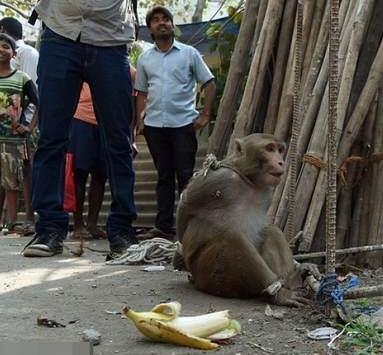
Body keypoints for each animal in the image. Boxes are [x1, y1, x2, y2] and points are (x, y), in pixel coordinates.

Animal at [172, 134, 320, 308]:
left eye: (280, 150)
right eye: (269, 149)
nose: (281, 162)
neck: (248, 180)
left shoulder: (268, 191)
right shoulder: (217, 178)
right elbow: (185, 204)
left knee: (272, 231)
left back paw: (292, 280)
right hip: (209, 276)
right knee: (232, 237)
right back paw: (279, 293)